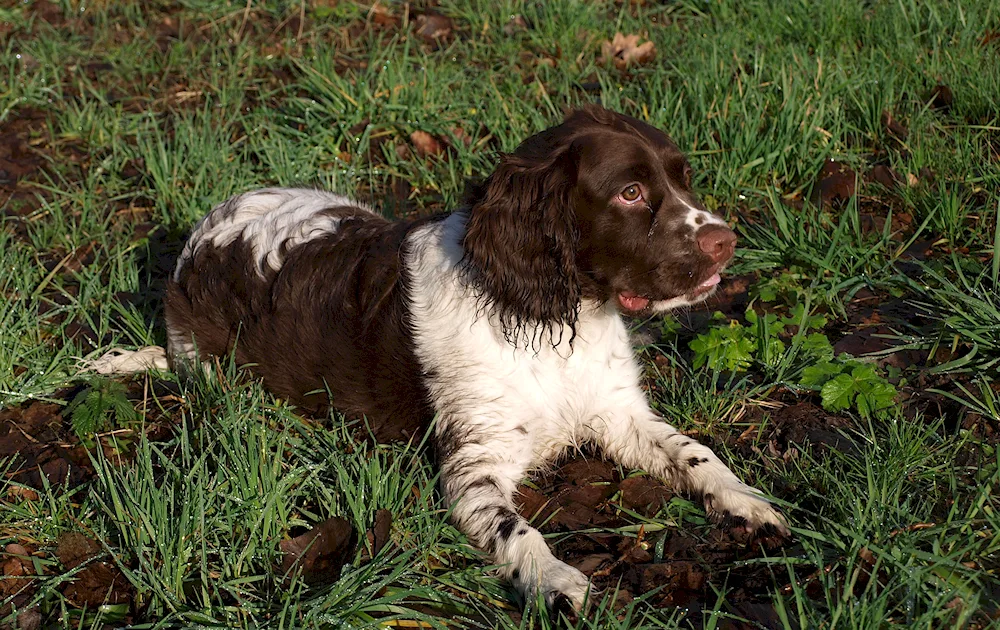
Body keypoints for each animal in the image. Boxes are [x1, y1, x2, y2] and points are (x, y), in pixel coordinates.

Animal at [88, 106, 788, 608]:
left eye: (681, 178)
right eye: (632, 193)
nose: (726, 243)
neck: (554, 322)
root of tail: (199, 236)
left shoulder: (619, 413)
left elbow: (695, 453)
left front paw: (748, 501)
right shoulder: (473, 465)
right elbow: (518, 530)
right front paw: (555, 580)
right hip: (213, 367)